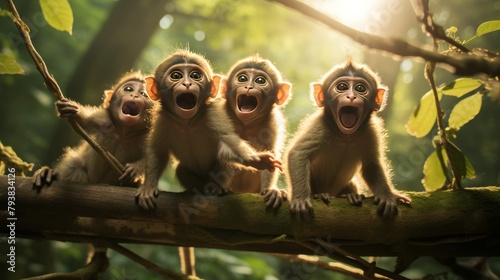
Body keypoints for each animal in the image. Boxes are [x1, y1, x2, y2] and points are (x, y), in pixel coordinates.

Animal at [221, 55, 292, 208]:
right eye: (242, 78)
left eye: (260, 81)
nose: (249, 86)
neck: (247, 124)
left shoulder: (273, 123)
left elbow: (271, 154)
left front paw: (271, 190)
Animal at [286, 60, 410, 220]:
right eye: (342, 87)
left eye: (360, 88)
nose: (351, 96)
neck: (346, 136)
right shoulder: (321, 127)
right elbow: (298, 154)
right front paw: (300, 199)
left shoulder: (370, 132)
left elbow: (371, 164)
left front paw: (388, 196)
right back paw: (321, 195)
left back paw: (350, 195)